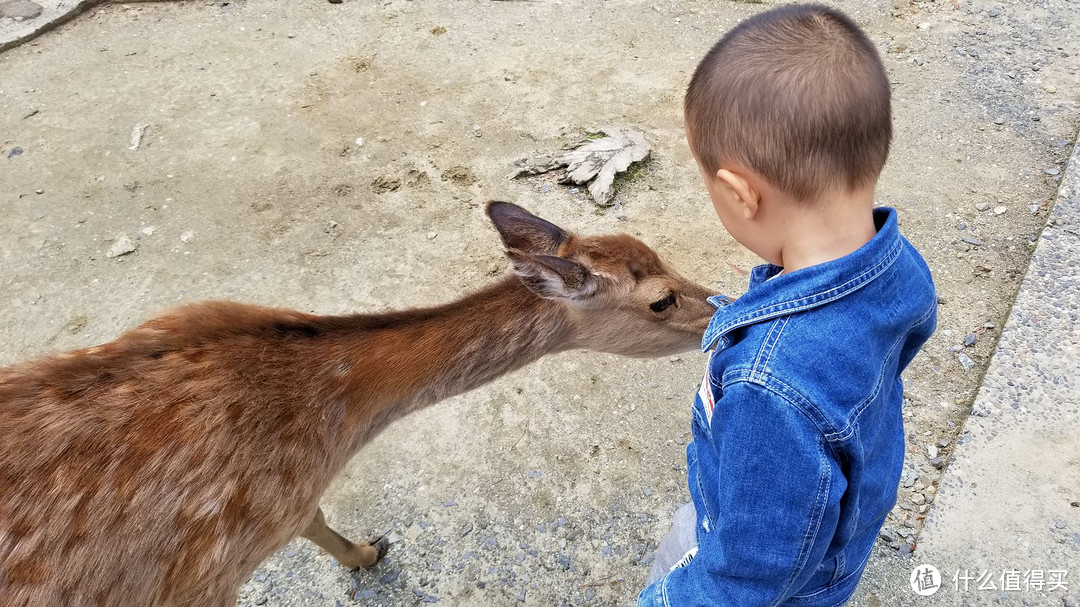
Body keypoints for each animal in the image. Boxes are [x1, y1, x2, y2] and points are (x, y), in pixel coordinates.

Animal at [4, 200, 721, 600]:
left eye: (656, 249)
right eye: (660, 299)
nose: (718, 304)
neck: (334, 424)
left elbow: (318, 518)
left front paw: (368, 552)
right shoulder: (206, 575)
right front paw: (372, 555)